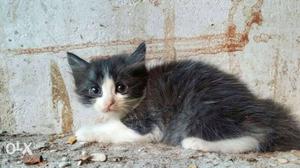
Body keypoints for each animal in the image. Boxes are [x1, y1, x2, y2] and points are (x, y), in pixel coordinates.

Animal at [67, 42, 300, 153]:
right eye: (95, 90)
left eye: (121, 87)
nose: (108, 103)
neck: (142, 93)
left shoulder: (148, 125)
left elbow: (115, 129)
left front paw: (85, 131)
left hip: (200, 109)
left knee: (253, 138)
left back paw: (195, 142)